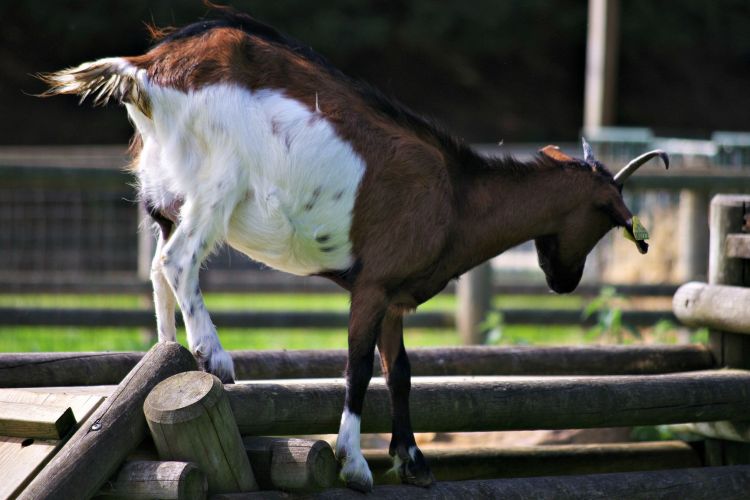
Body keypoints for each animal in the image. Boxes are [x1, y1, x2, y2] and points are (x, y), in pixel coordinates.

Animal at [39, 5, 668, 492]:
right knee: (178, 261)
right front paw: (355, 464)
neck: (457, 197)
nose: (564, 281)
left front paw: (413, 462)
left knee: (156, 267)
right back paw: (213, 355)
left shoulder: (395, 298)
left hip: (164, 193)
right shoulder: (371, 284)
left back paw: (165, 355)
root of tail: (146, 70)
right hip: (216, 184)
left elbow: (402, 372)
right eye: (606, 217)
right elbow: (358, 367)